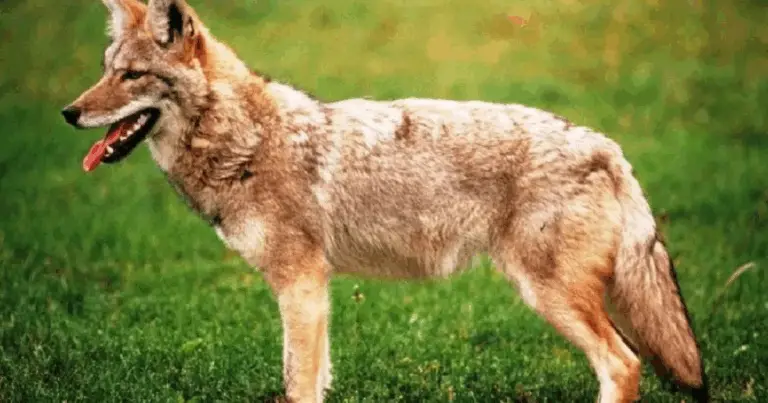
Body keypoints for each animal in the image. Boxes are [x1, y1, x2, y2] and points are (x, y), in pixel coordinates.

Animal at [61, 1, 709, 402]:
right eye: (108, 70)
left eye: (133, 76)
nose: (68, 113)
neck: (247, 141)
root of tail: (607, 145)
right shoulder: (311, 290)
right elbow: (312, 380)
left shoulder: (301, 284)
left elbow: (297, 383)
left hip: (551, 297)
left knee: (623, 365)